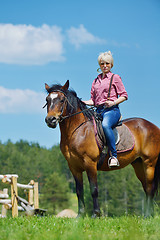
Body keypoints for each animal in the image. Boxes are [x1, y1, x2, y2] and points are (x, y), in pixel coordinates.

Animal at [44, 80, 160, 218]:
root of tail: (154, 127)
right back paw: (148, 214)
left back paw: (148, 215)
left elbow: (94, 189)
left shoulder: (90, 164)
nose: (50, 120)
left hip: (149, 163)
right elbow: (79, 191)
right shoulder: (73, 167)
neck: (77, 131)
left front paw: (96, 214)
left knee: (150, 188)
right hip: (138, 164)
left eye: (62, 100)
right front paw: (80, 215)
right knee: (146, 187)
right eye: (47, 100)